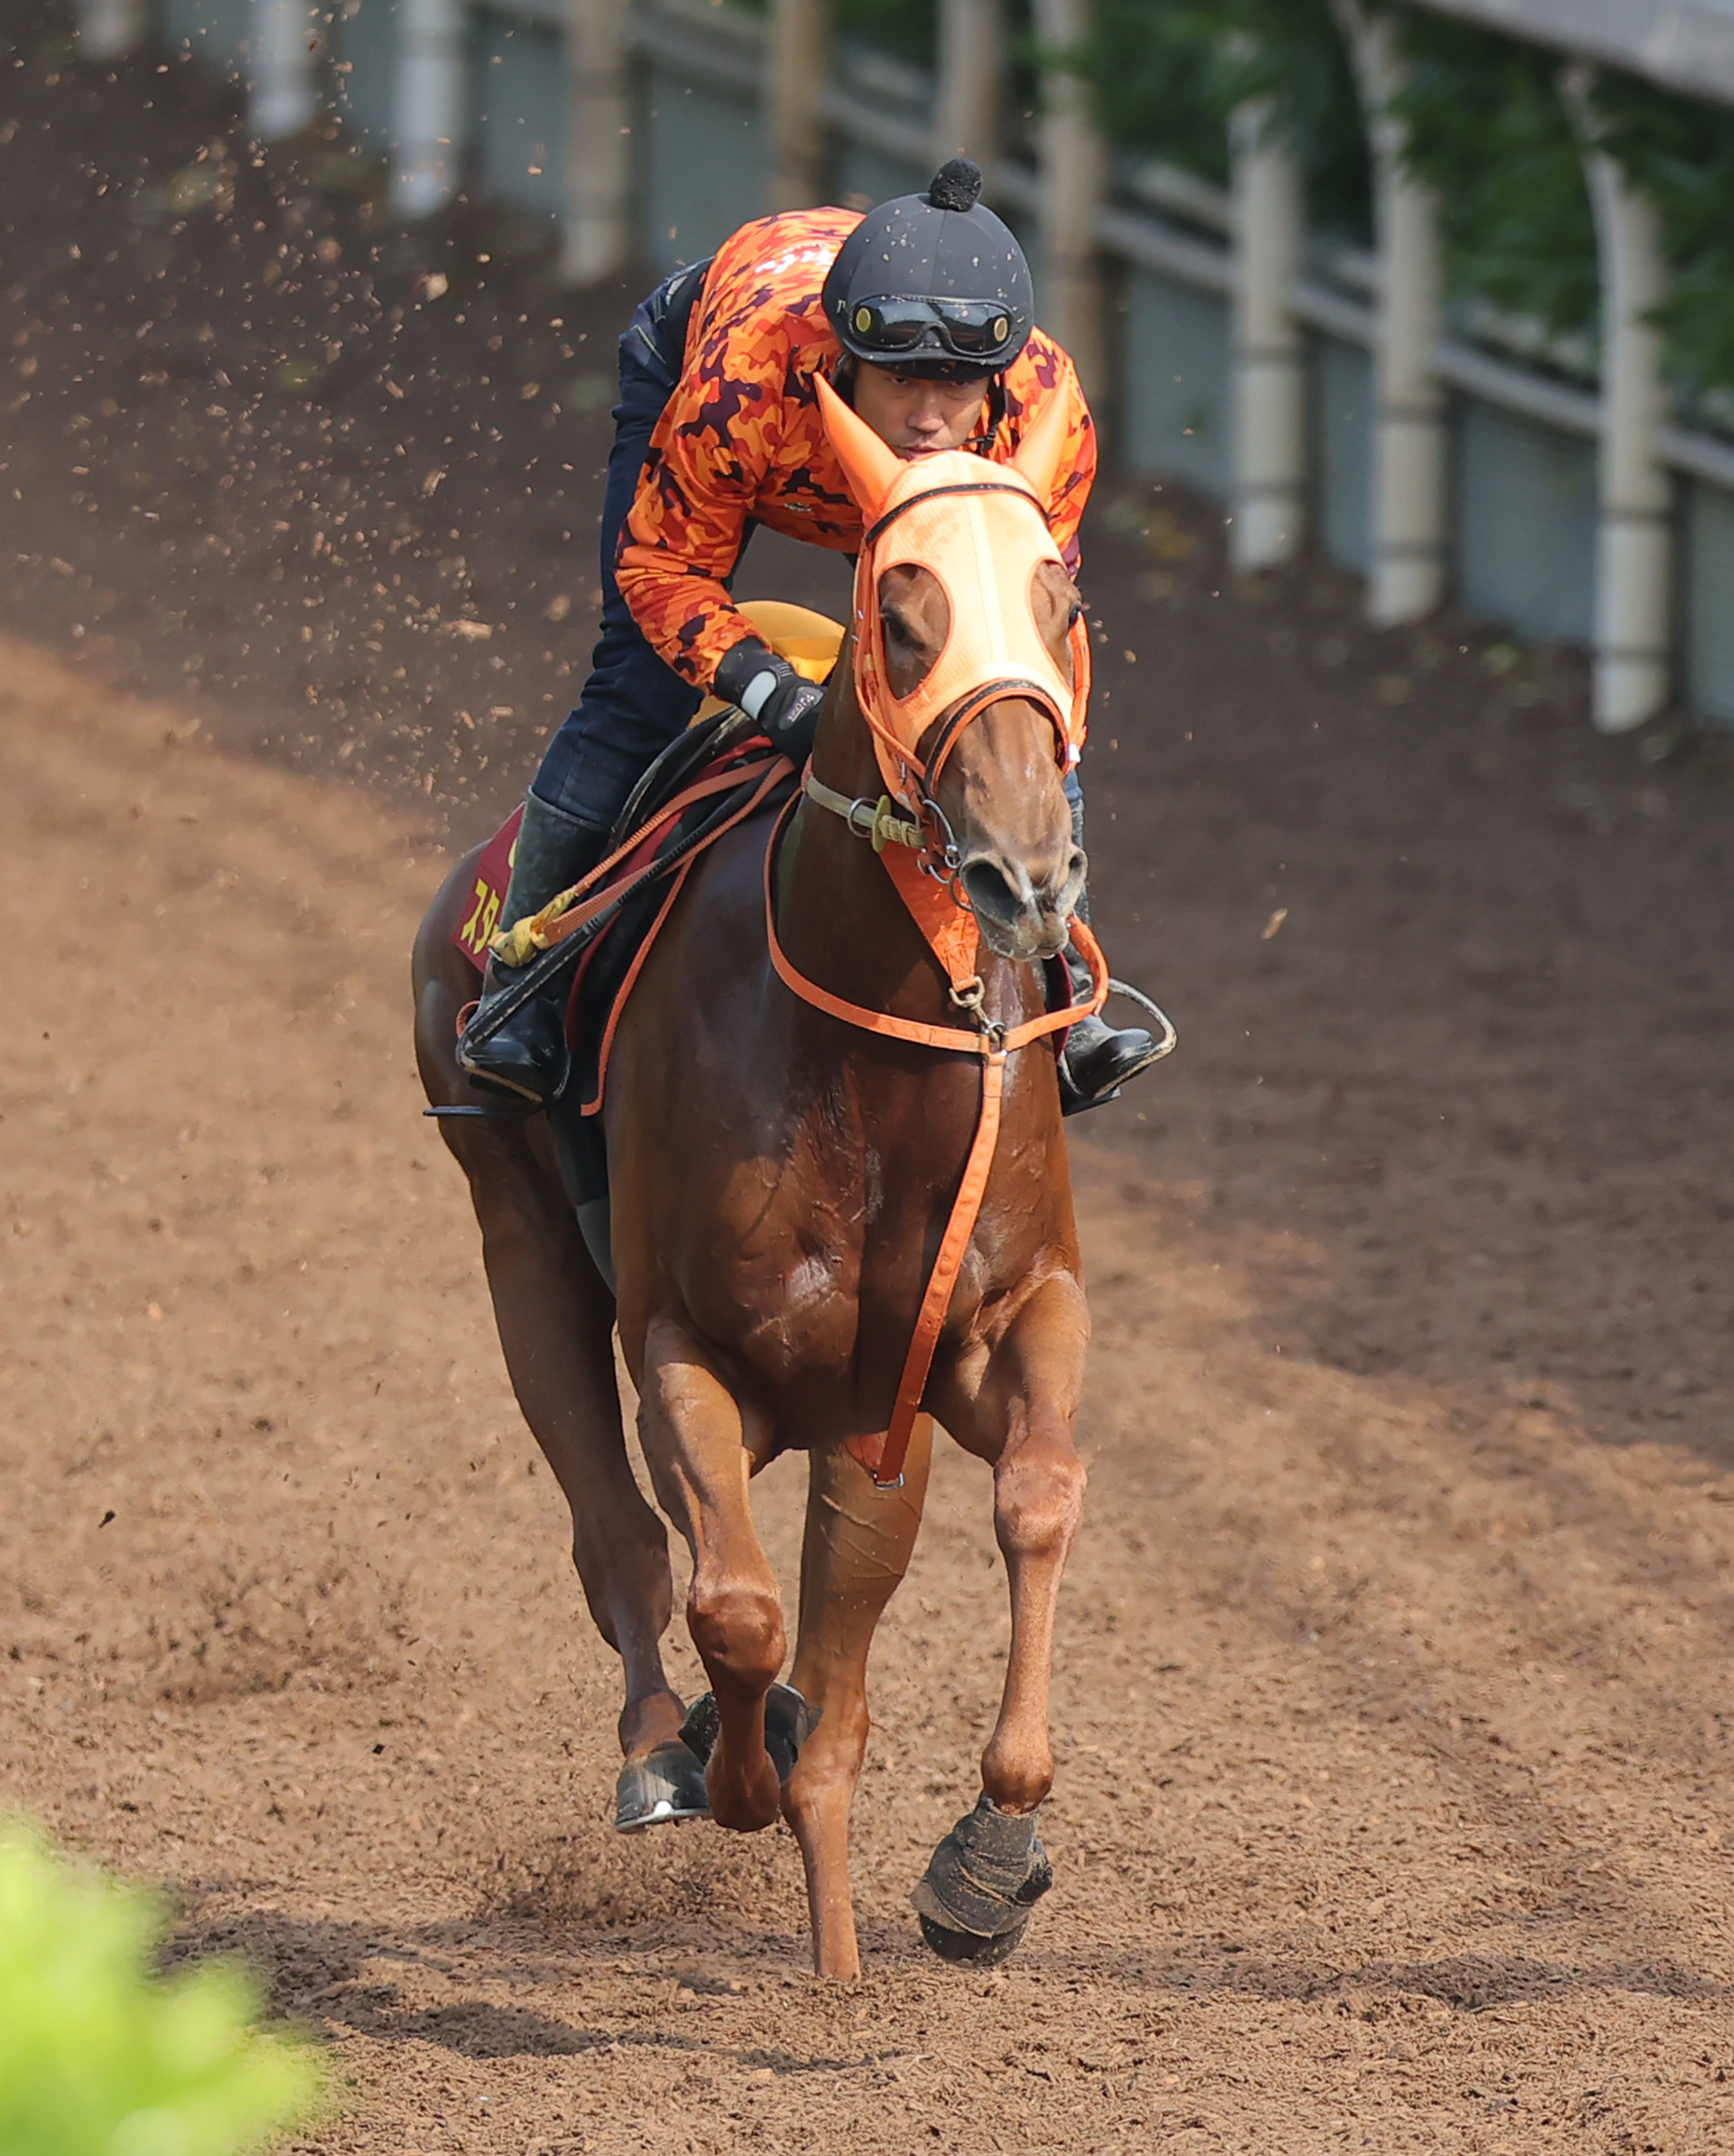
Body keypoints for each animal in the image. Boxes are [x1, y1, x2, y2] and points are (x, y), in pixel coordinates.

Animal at [413, 380, 1104, 1980]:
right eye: (899, 615)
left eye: (1063, 601)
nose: (1026, 874)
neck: (867, 1046)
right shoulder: (687, 1339)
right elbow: (733, 1605)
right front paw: (728, 1770)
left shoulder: (981, 1329)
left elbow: (1037, 1497)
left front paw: (992, 1854)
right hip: (515, 1231)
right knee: (620, 1531)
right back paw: (665, 1752)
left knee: (835, 1676)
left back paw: (840, 1959)